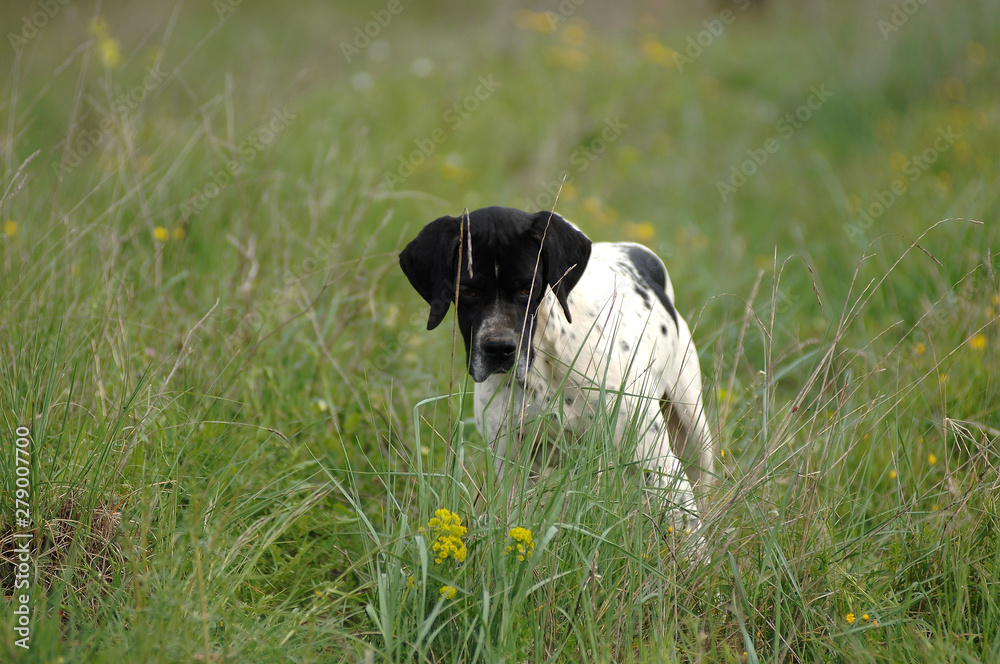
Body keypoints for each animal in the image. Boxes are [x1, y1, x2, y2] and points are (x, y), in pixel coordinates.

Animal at [398, 208, 712, 528]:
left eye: (528, 288)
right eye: (468, 290)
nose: (498, 349)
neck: (545, 361)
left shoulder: (656, 460)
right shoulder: (513, 466)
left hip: (694, 429)